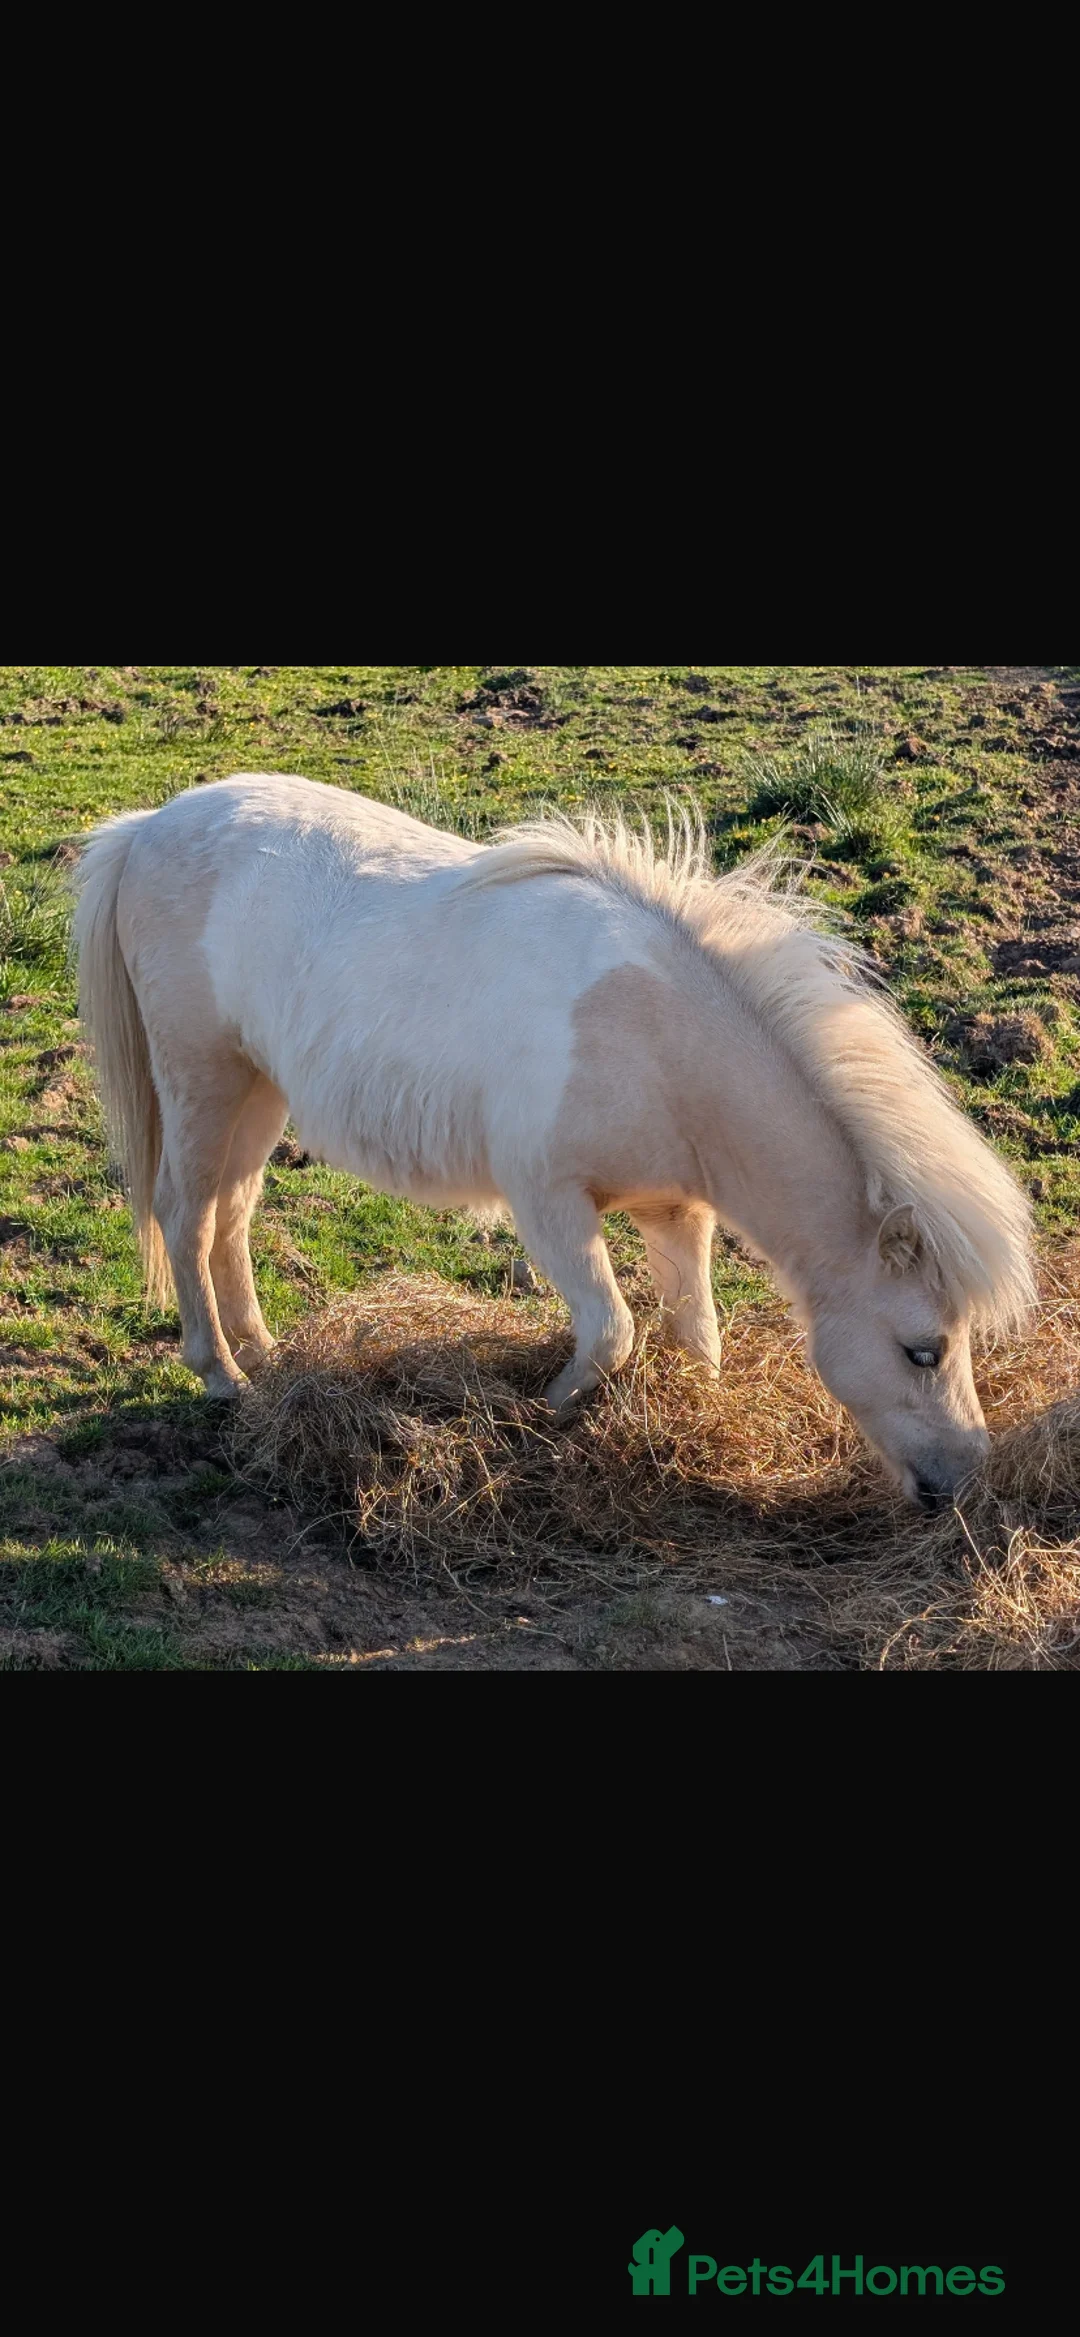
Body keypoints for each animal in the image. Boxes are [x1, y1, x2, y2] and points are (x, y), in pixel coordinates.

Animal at [73, 773, 1035, 1507]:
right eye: (923, 1349)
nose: (963, 1481)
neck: (654, 1034)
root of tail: (148, 827)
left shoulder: (674, 1213)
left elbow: (695, 1335)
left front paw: (682, 1412)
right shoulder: (549, 1204)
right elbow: (610, 1332)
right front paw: (546, 1416)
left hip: (257, 1090)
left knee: (230, 1214)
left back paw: (265, 1354)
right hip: (201, 1078)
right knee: (186, 1215)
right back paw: (221, 1375)